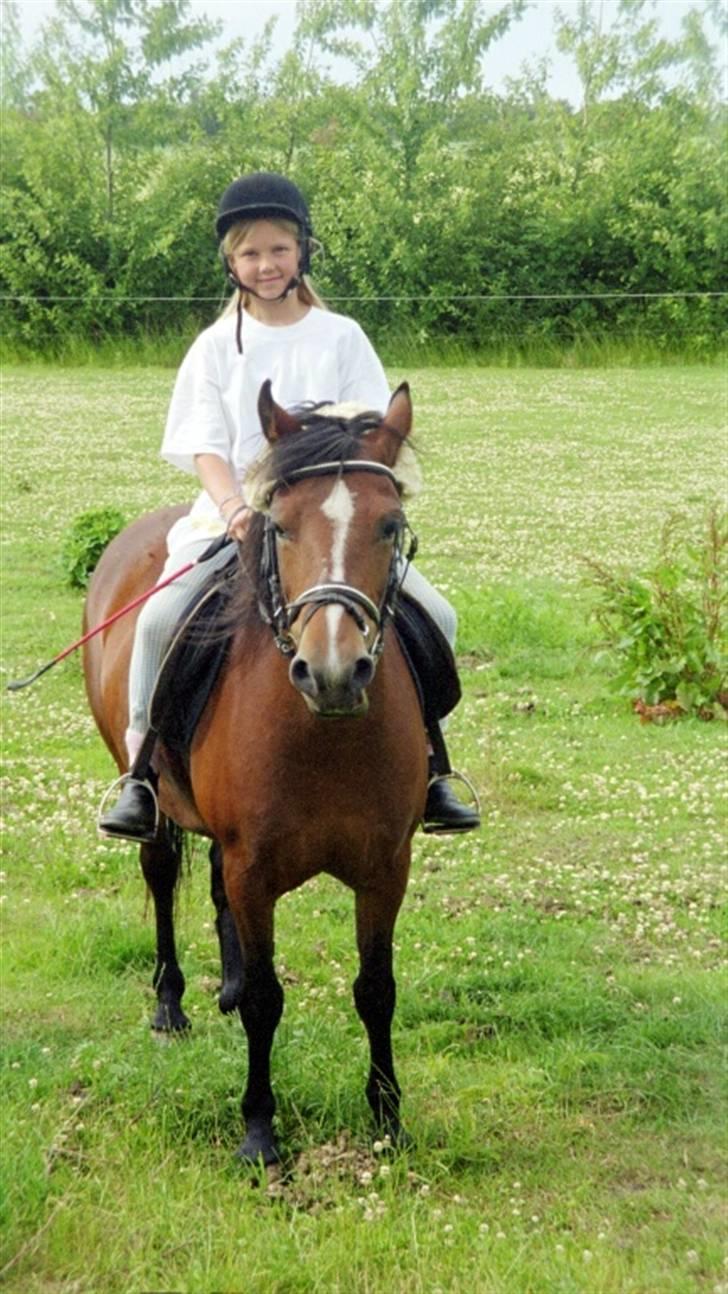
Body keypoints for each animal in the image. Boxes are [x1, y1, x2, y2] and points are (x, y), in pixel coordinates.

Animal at [83, 381, 429, 1165]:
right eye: (283, 526)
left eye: (389, 524)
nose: (332, 670)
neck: (323, 731)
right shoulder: (254, 866)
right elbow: (271, 1002)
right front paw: (259, 1130)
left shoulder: (385, 867)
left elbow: (378, 989)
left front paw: (388, 1118)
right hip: (150, 798)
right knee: (161, 875)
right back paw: (171, 1003)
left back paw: (228, 983)